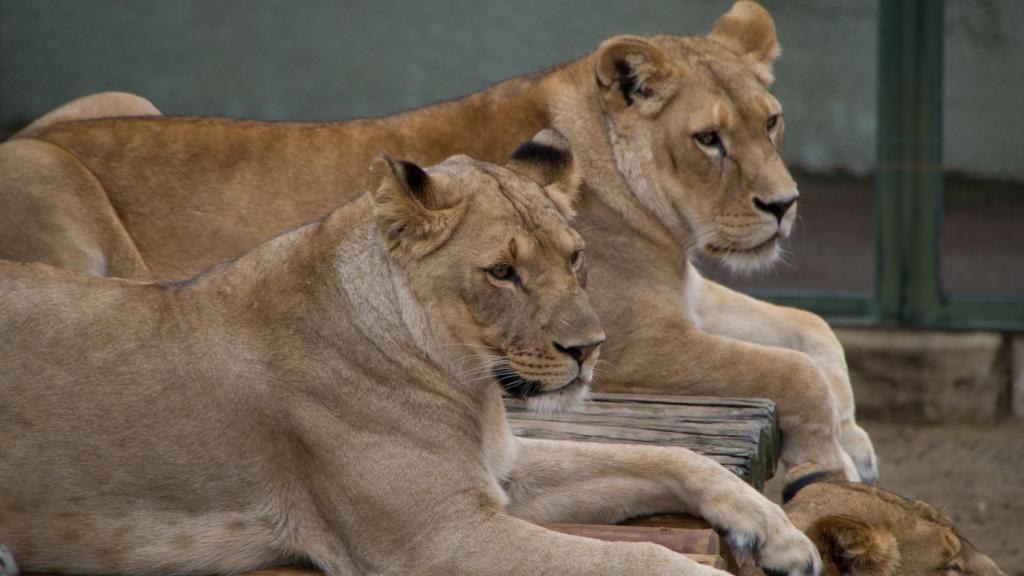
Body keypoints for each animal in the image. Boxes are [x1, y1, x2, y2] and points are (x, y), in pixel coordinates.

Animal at [0, 1, 876, 489]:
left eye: (771, 121)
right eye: (708, 140)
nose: (784, 207)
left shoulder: (682, 299)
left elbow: (812, 331)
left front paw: (854, 438)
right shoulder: (633, 339)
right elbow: (789, 368)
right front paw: (822, 457)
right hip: (47, 172)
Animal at [0, 131, 822, 576]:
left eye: (575, 256)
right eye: (502, 272)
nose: (589, 350)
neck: (472, 386)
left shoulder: (498, 477)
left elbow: (675, 457)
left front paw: (778, 534)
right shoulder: (439, 541)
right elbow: (638, 558)